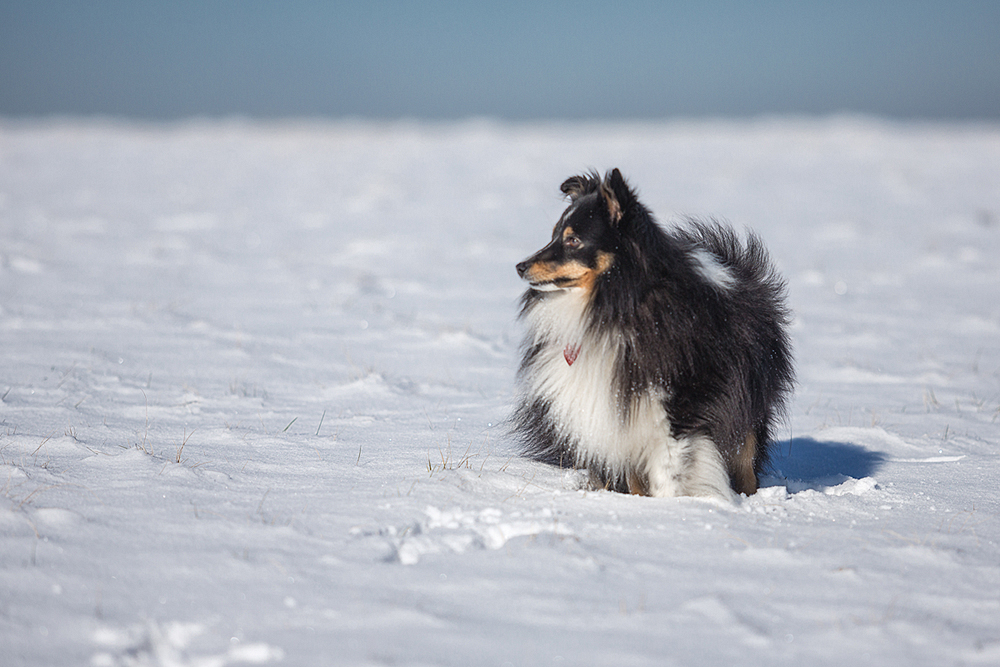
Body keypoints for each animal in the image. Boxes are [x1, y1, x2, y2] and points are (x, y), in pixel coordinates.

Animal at [512, 170, 792, 498]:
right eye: (554, 234)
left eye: (573, 240)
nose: (520, 266)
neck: (614, 306)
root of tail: (738, 269)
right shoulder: (617, 413)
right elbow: (634, 476)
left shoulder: (677, 408)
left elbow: (670, 470)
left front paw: (668, 506)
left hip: (748, 405)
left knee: (746, 462)